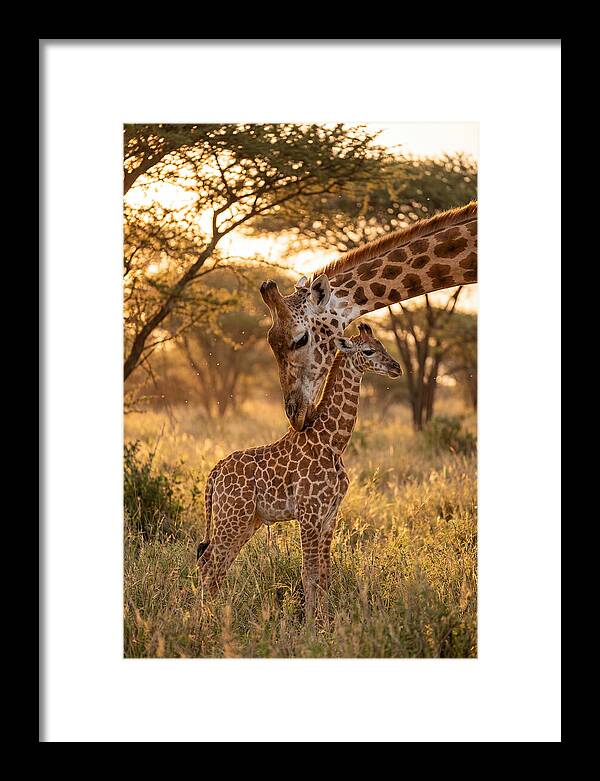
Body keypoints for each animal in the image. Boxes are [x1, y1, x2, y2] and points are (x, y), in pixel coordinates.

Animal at [197, 323, 402, 622]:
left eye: (382, 346)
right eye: (368, 351)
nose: (396, 367)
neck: (333, 442)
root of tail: (215, 473)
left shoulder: (329, 515)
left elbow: (325, 574)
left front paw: (326, 622)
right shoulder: (309, 512)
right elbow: (309, 573)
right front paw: (310, 625)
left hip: (247, 520)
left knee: (217, 564)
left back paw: (215, 616)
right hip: (232, 516)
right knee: (209, 563)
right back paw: (203, 621)